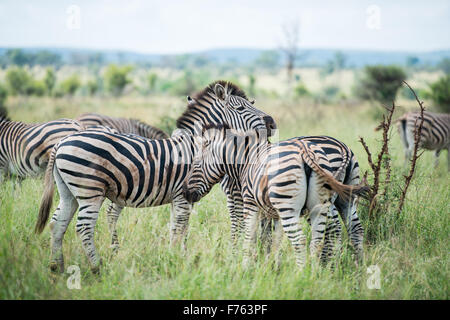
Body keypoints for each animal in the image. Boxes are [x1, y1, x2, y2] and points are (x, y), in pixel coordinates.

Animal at [34, 80, 274, 272]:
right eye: (241, 107)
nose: (272, 123)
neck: (194, 146)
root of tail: (62, 142)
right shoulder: (183, 195)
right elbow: (179, 229)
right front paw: (175, 259)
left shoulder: (181, 197)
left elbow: (178, 228)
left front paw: (178, 257)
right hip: (89, 190)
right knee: (83, 228)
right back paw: (97, 268)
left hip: (68, 191)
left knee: (57, 224)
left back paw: (56, 267)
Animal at [183, 124, 370, 268]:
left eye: (196, 164)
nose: (185, 193)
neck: (245, 159)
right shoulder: (274, 212)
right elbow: (273, 239)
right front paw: (271, 266)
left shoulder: (250, 203)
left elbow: (249, 236)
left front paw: (244, 267)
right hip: (334, 202)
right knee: (343, 232)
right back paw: (344, 268)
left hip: (291, 207)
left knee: (305, 238)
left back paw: (304, 275)